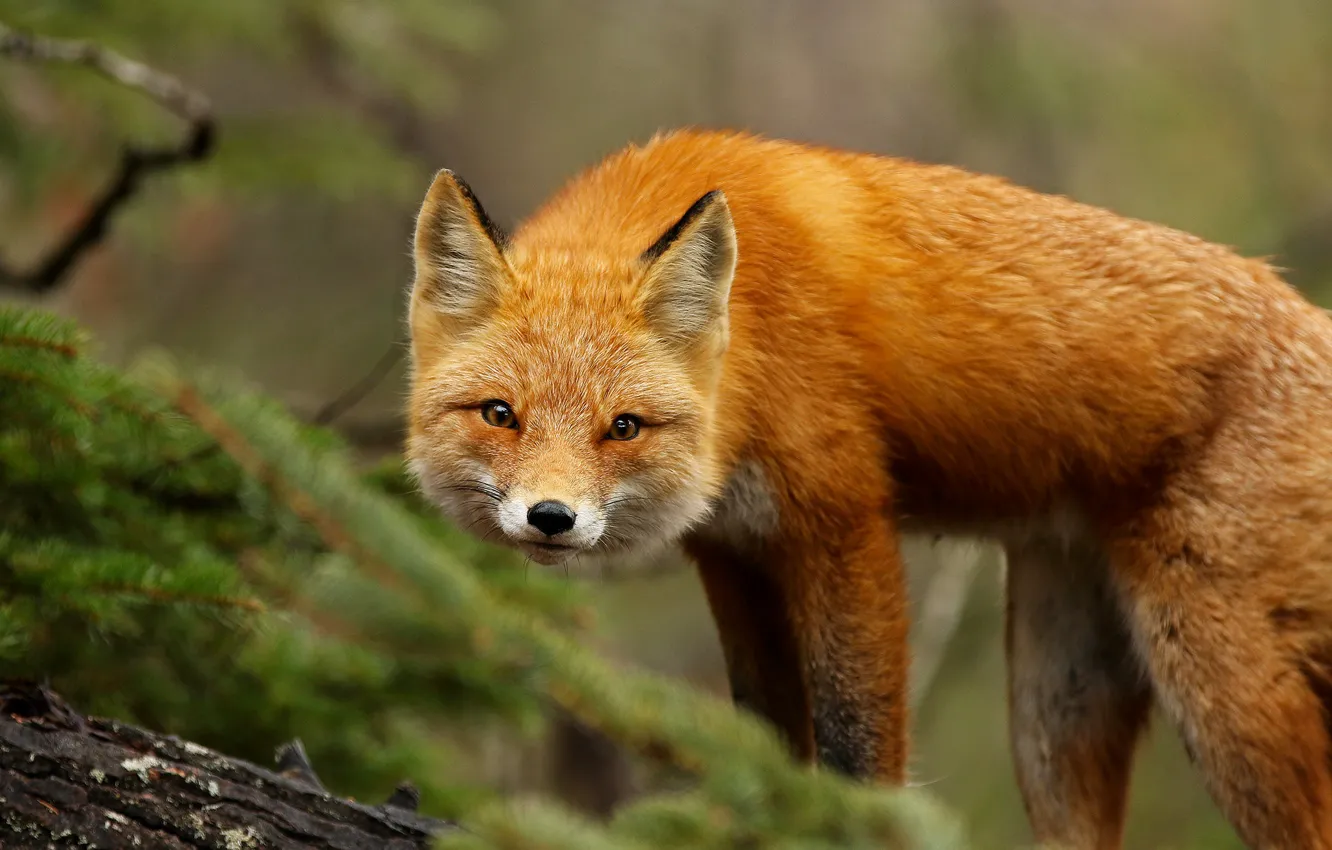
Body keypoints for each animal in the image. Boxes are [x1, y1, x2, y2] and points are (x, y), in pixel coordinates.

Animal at [405, 128, 1332, 849]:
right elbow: (768, 743)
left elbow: (858, 752)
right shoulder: (735, 552)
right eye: (501, 415)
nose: (551, 518)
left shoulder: (844, 525)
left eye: (622, 427)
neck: (750, 345)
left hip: (1219, 686)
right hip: (1057, 689)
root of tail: (1310, 317)